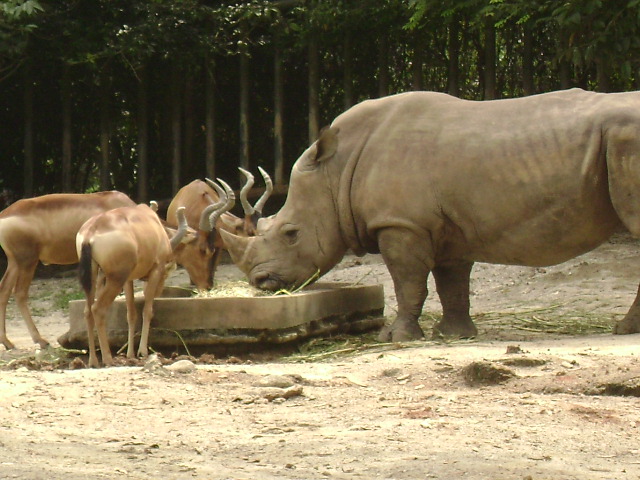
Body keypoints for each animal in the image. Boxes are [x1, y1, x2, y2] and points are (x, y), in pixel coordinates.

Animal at [220, 88, 640, 342]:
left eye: (290, 233)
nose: (261, 282)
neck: (335, 173)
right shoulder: (449, 227)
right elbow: (451, 282)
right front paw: (455, 335)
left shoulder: (401, 223)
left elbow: (407, 281)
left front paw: (396, 339)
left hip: (625, 141)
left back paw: (623, 330)